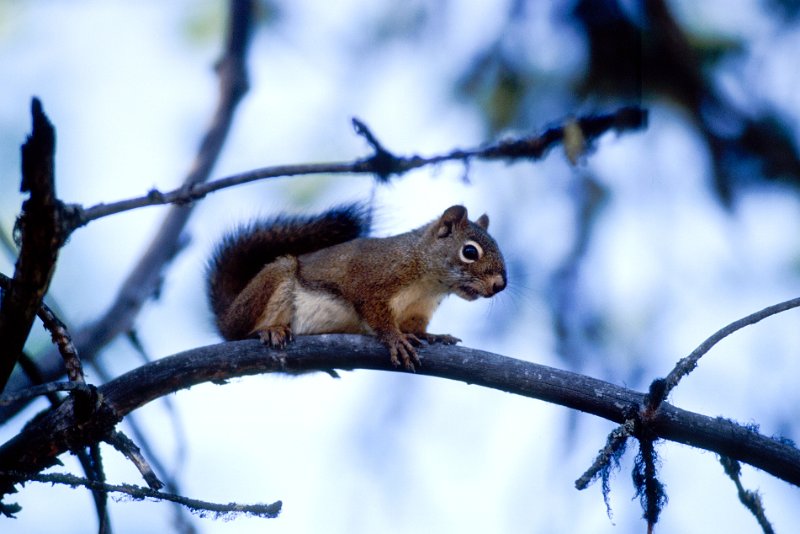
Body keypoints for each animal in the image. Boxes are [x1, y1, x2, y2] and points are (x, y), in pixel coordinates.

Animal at [206, 206, 506, 372]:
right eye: (469, 252)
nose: (500, 285)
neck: (428, 283)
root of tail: (226, 316)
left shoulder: (418, 310)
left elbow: (417, 328)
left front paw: (434, 336)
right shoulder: (372, 279)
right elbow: (375, 312)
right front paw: (395, 340)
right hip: (275, 279)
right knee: (239, 332)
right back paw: (269, 329)